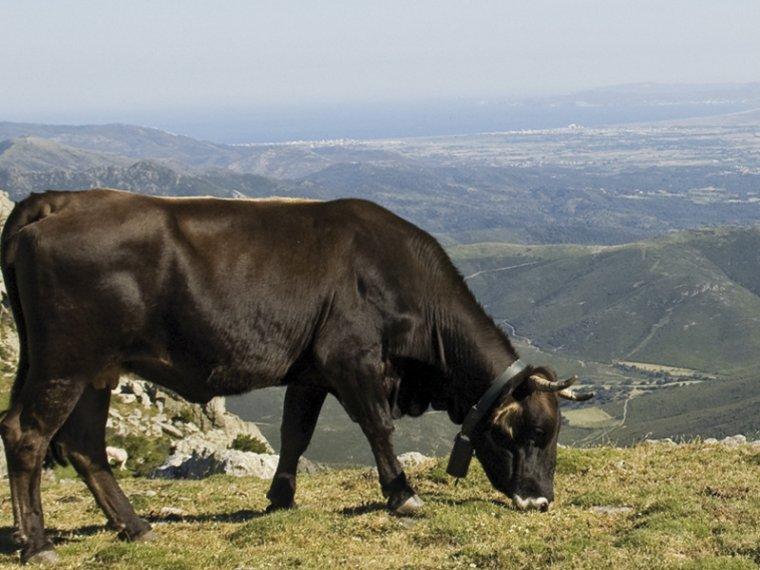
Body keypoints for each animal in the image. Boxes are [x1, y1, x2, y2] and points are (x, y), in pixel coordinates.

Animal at [0, 189, 592, 563]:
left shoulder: (309, 372)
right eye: (532, 433)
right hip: (66, 361)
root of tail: (59, 200)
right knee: (27, 434)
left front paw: (280, 497)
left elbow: (295, 433)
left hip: (95, 370)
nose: (540, 501)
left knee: (82, 445)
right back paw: (39, 544)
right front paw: (403, 494)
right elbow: (379, 428)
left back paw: (135, 527)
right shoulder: (350, 360)